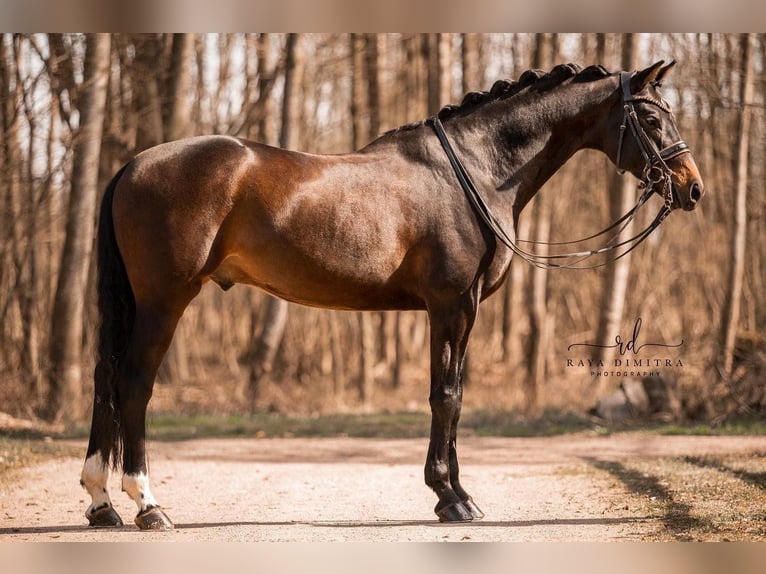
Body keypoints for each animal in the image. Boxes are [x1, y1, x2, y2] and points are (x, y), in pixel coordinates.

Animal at [79, 62, 708, 532]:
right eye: (651, 116)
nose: (692, 188)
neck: (476, 171)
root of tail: (132, 165)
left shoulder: (462, 311)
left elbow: (454, 394)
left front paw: (456, 493)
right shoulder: (452, 305)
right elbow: (446, 397)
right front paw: (451, 498)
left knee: (105, 380)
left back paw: (101, 502)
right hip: (164, 302)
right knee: (133, 383)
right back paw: (148, 504)